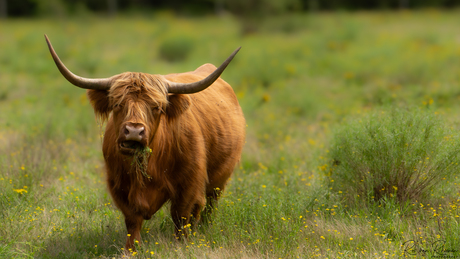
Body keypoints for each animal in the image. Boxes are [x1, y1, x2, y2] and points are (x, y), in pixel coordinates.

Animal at [45, 35, 246, 250]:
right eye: (118, 104)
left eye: (156, 107)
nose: (134, 131)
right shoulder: (118, 184)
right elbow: (133, 219)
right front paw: (131, 249)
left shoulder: (190, 184)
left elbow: (181, 215)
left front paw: (181, 245)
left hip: (220, 179)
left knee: (209, 205)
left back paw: (205, 228)